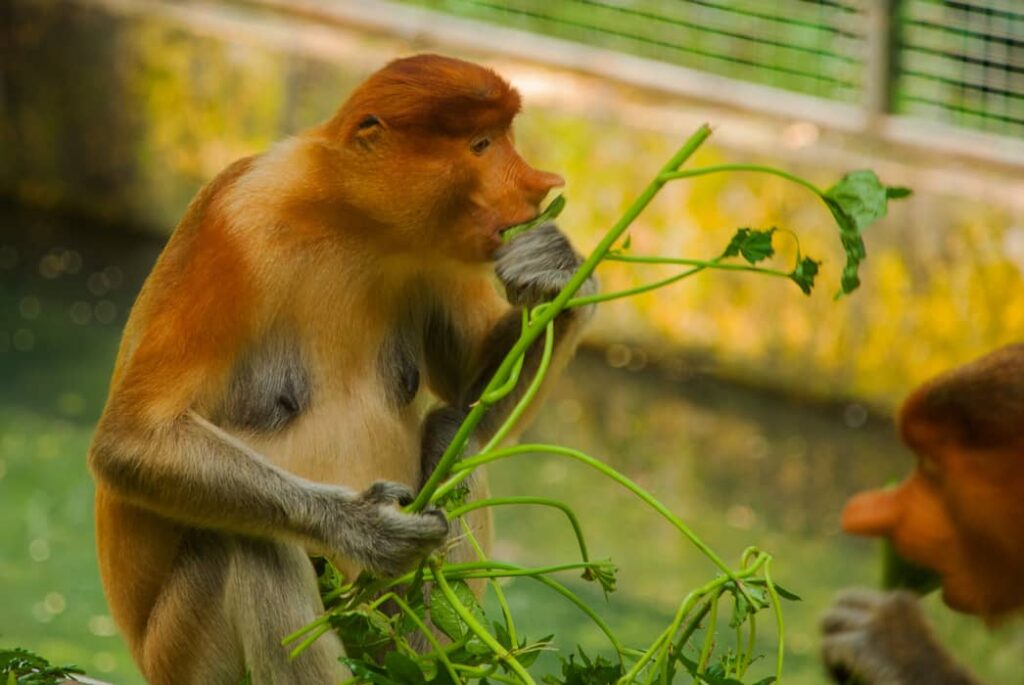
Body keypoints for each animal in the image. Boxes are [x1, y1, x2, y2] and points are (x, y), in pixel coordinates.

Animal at [88, 54, 595, 684]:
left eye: (505, 138)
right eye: (481, 145)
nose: (537, 186)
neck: (348, 216)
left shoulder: (441, 251)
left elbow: (469, 392)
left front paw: (556, 268)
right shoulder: (231, 228)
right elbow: (132, 438)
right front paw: (365, 527)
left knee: (455, 434)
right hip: (181, 656)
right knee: (247, 542)